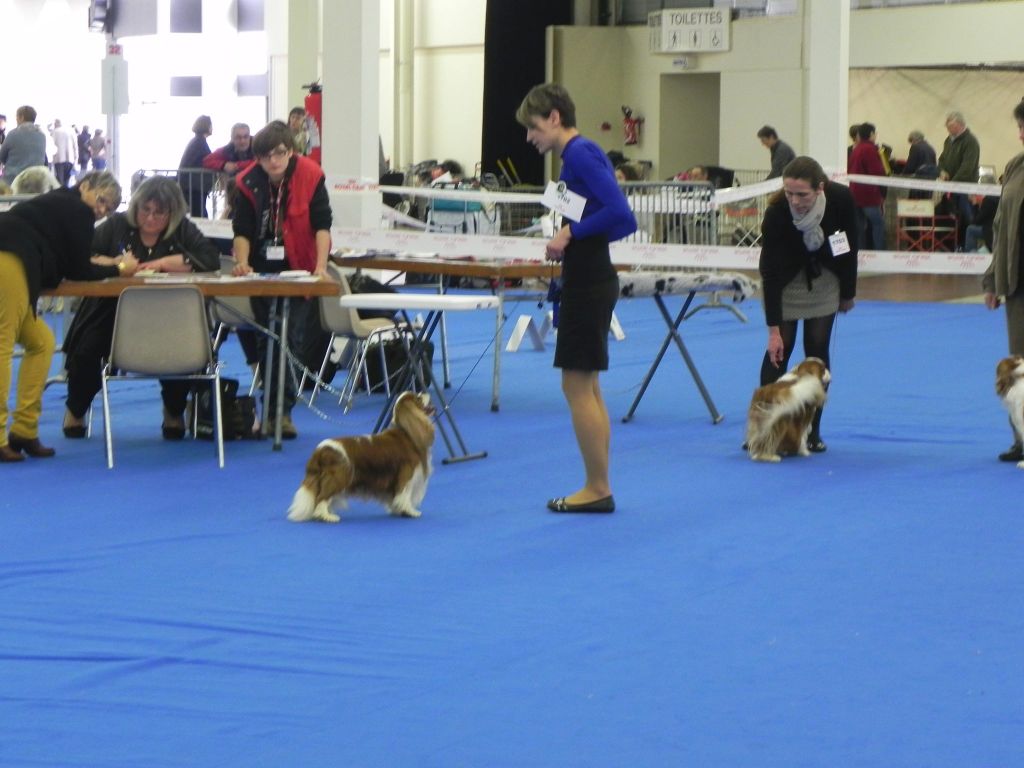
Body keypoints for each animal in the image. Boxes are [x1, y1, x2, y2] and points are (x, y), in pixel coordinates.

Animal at [286, 391, 438, 524]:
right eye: (418, 398)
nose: (425, 391)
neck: (406, 432)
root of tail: (320, 450)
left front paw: (396, 509)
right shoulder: (406, 475)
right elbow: (405, 495)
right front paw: (410, 511)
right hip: (338, 477)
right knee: (322, 497)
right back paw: (327, 516)